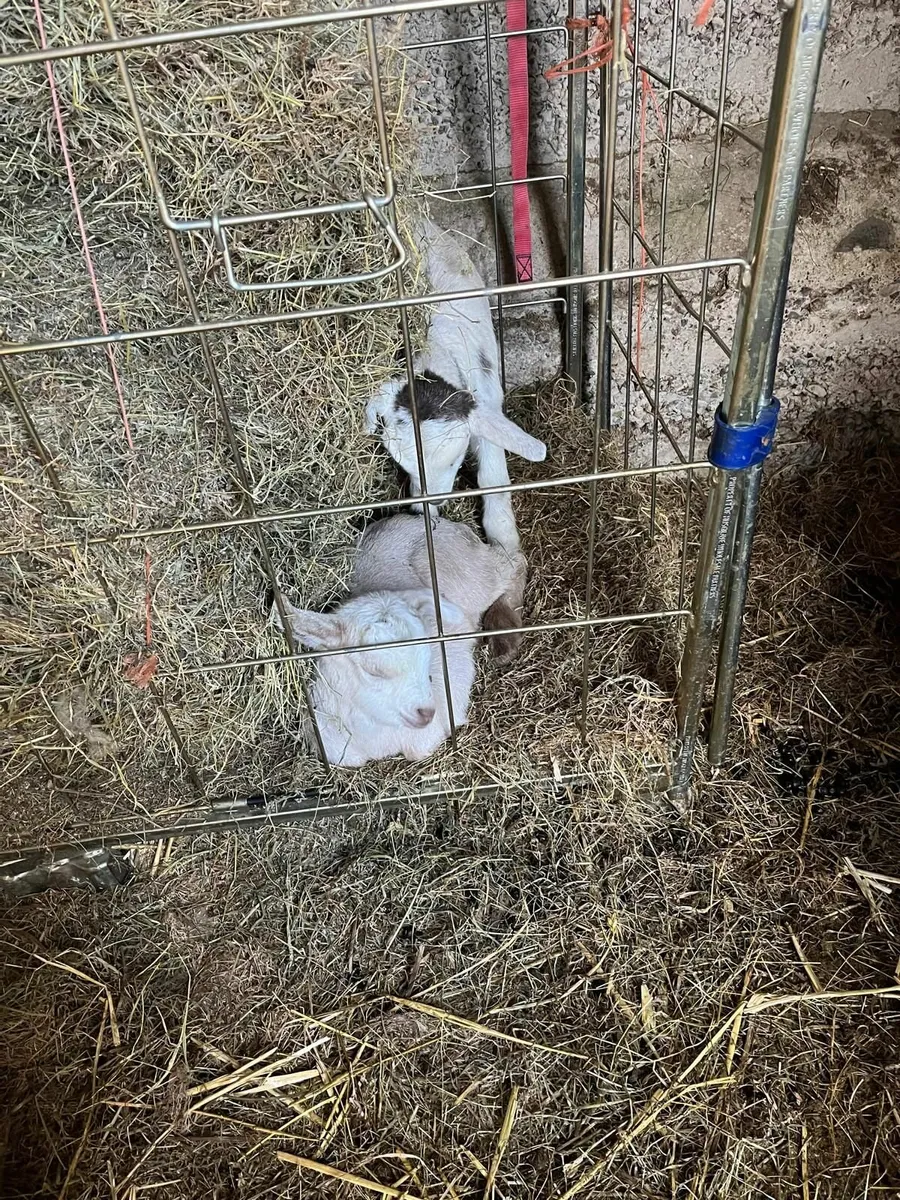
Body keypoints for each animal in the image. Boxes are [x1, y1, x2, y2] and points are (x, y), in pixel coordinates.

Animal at [277, 514, 526, 767]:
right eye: (373, 670)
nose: (426, 712)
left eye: (426, 661)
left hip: (470, 574)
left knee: (513, 560)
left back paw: (504, 635)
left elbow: (419, 749)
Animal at [365, 218, 546, 554]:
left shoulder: (485, 390)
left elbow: (493, 472)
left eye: (454, 460)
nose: (432, 503)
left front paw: (504, 539)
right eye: (403, 466)